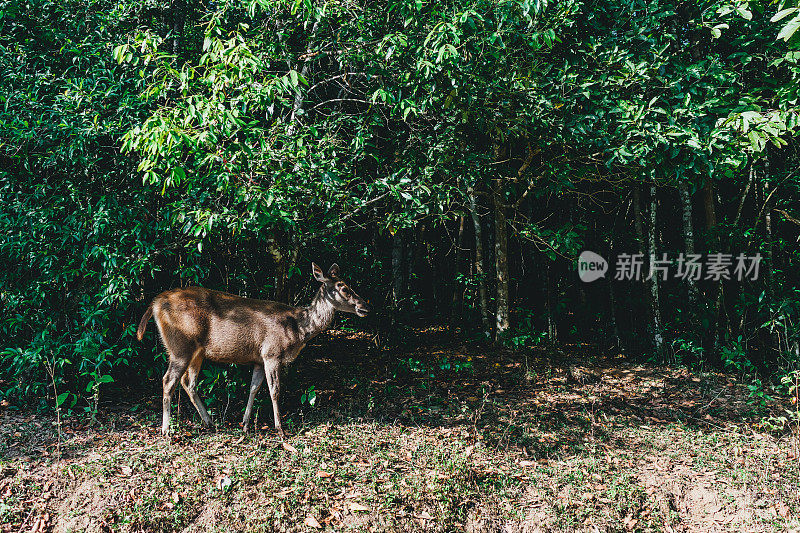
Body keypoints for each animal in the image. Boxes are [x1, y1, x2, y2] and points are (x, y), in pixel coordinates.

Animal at [137, 262, 372, 436]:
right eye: (343, 287)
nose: (365, 306)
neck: (297, 329)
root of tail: (155, 304)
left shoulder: (258, 359)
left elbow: (253, 388)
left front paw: (245, 423)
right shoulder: (271, 352)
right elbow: (274, 390)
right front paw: (280, 429)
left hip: (197, 351)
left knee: (188, 382)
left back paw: (209, 421)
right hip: (180, 345)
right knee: (168, 380)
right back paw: (166, 429)